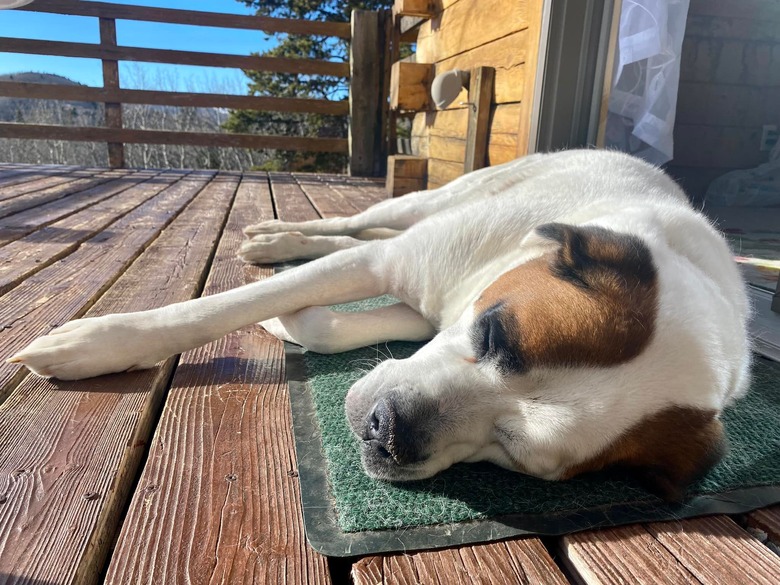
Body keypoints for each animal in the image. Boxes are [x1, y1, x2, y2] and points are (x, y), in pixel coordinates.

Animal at [7, 151, 748, 502]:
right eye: (493, 336)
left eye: (513, 450)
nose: (391, 433)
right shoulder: (398, 265)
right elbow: (218, 308)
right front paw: (96, 344)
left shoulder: (420, 304)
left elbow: (330, 324)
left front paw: (291, 320)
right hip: (432, 198)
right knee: (359, 222)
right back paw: (278, 237)